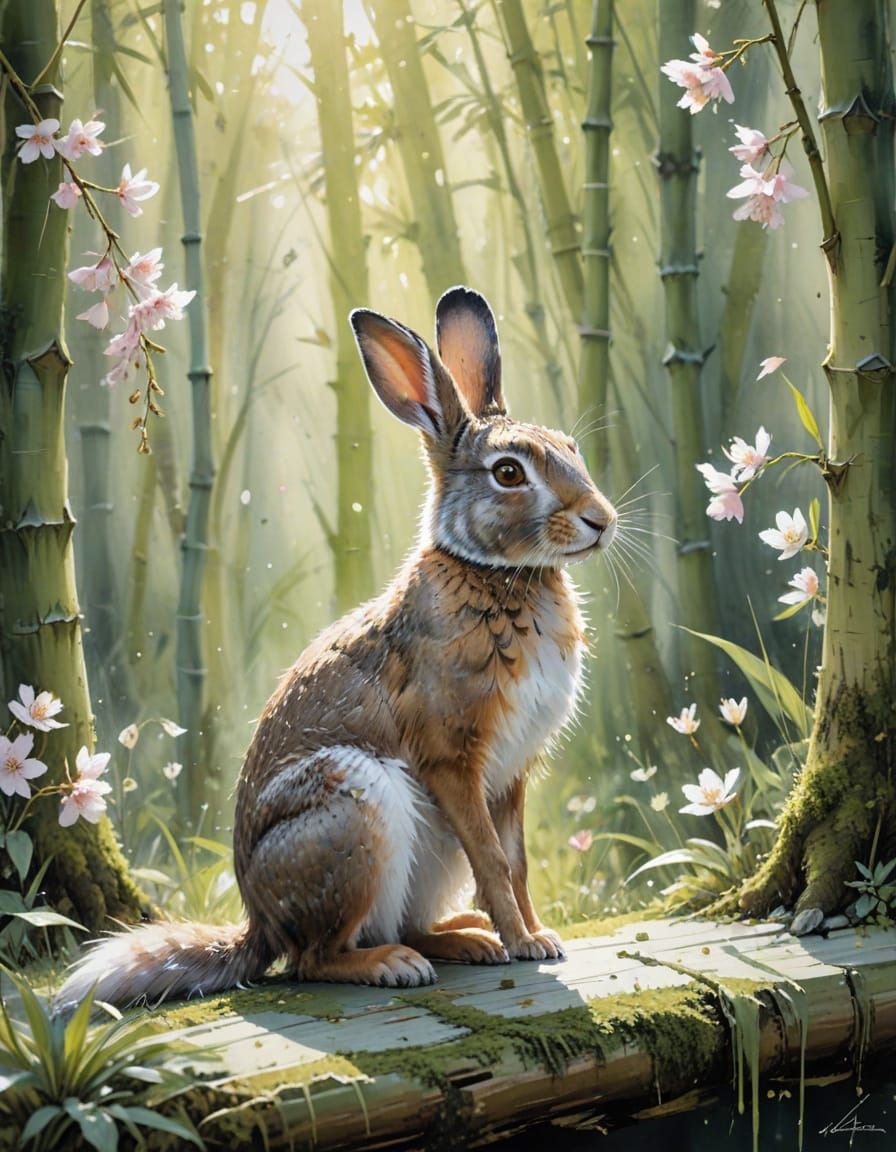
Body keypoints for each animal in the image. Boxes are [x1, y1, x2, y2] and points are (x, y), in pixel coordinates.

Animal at [57, 287, 617, 1007]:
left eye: (572, 448)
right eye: (508, 473)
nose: (600, 520)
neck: (496, 574)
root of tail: (258, 923)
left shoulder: (512, 773)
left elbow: (516, 861)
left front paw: (540, 935)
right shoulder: (453, 758)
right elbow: (493, 858)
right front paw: (526, 943)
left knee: (397, 923)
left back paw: (465, 939)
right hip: (356, 809)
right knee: (314, 958)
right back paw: (397, 964)